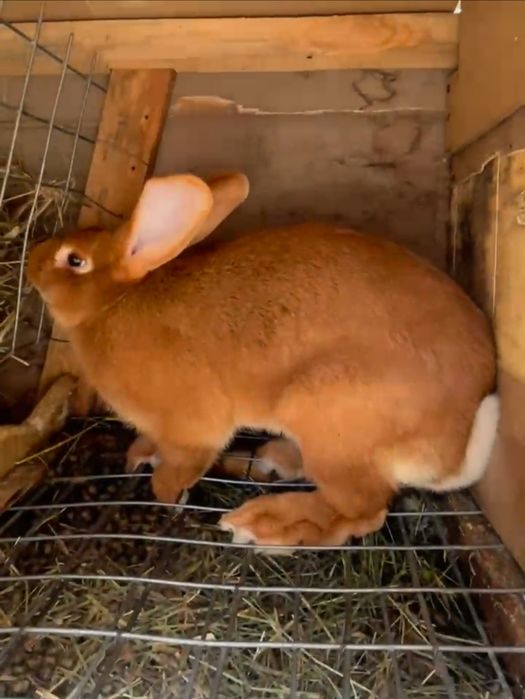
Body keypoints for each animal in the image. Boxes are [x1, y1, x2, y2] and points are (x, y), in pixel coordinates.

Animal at [27, 172, 498, 549]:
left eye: (74, 260)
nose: (32, 259)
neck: (113, 303)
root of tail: (454, 449)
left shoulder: (192, 429)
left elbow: (179, 467)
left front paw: (167, 496)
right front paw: (139, 456)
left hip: (325, 415)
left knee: (362, 511)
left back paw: (265, 525)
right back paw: (271, 461)